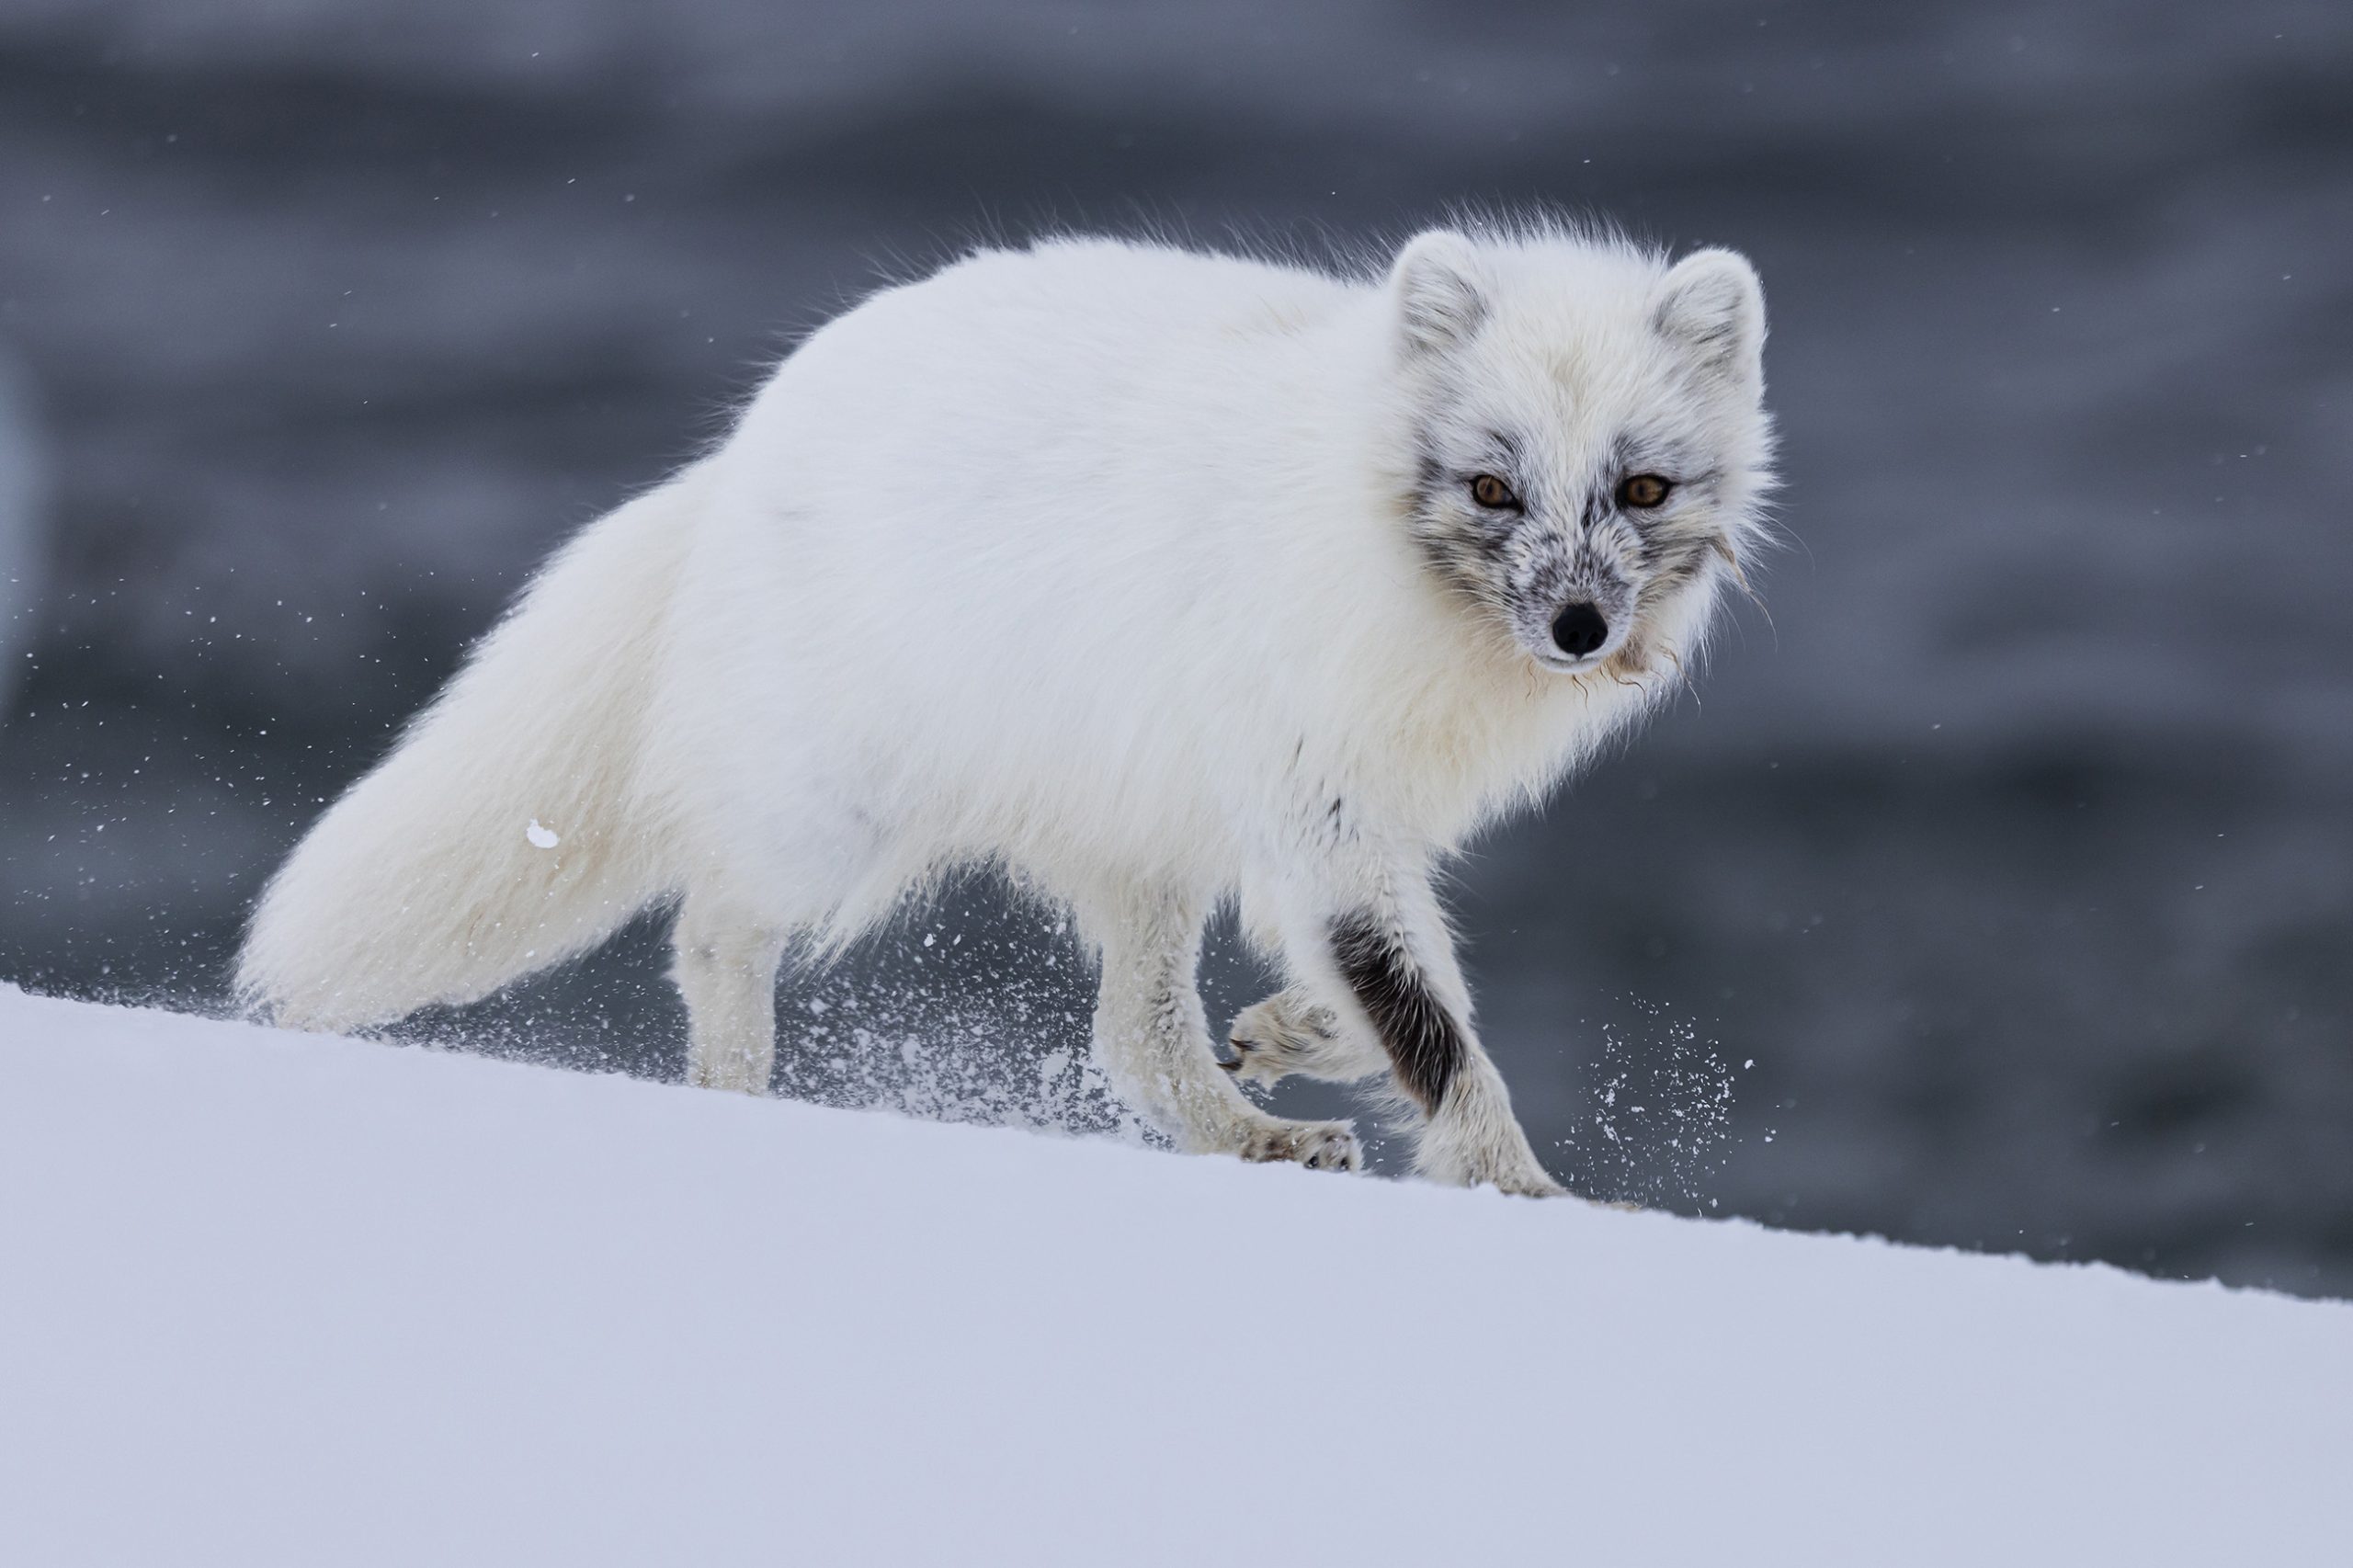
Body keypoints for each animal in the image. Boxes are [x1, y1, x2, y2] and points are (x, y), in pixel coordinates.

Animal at [237, 219, 1775, 1196]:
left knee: (1131, 1036)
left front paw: (1293, 1033)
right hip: (836, 810)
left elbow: (1383, 992)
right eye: (1493, 488)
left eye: (1641, 488)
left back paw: (1254, 1132)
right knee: (712, 925)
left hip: (1139, 831)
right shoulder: (1320, 798)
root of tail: (739, 455)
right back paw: (736, 1099)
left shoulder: (1338, 818)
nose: (1580, 630)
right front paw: (1530, 1199)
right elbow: (1433, 1029)